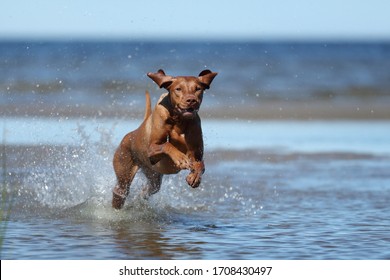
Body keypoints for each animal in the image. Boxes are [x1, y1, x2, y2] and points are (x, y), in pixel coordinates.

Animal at [111, 69, 218, 209]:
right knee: (120, 191)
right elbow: (166, 145)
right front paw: (180, 158)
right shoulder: (151, 150)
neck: (179, 120)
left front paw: (195, 176)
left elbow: (200, 164)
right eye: (178, 89)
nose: (191, 100)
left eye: (198, 89)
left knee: (147, 190)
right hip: (124, 170)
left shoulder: (196, 153)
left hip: (153, 176)